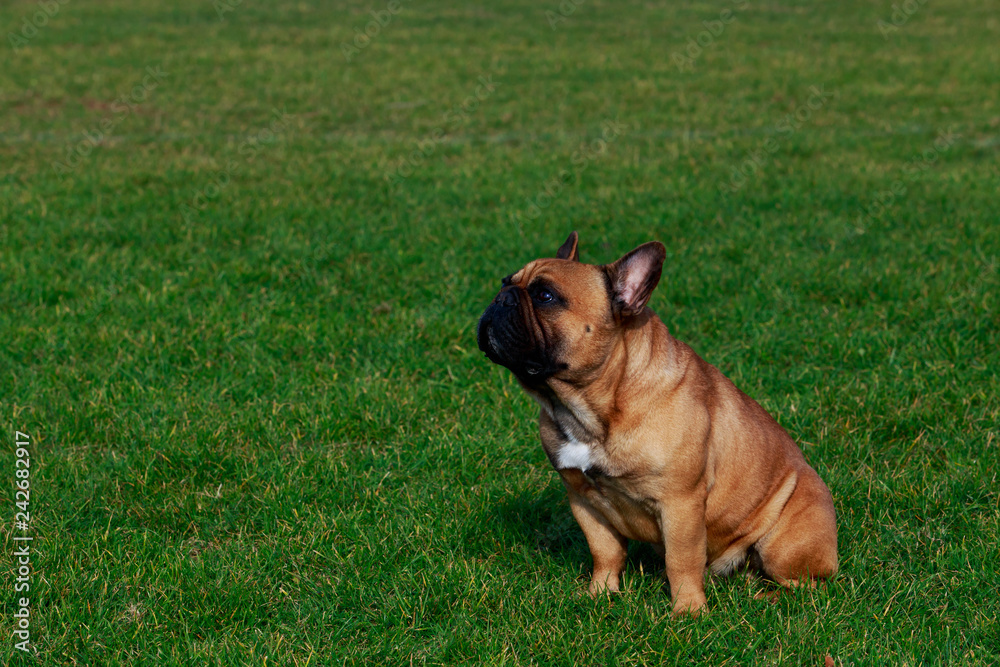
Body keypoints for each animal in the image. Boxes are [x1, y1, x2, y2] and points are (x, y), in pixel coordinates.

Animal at [476, 232, 836, 612]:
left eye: (545, 296)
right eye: (505, 282)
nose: (501, 298)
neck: (591, 406)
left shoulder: (680, 504)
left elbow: (682, 560)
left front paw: (688, 611)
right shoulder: (583, 499)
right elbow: (604, 551)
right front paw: (600, 594)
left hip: (784, 544)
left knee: (805, 585)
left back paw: (766, 596)